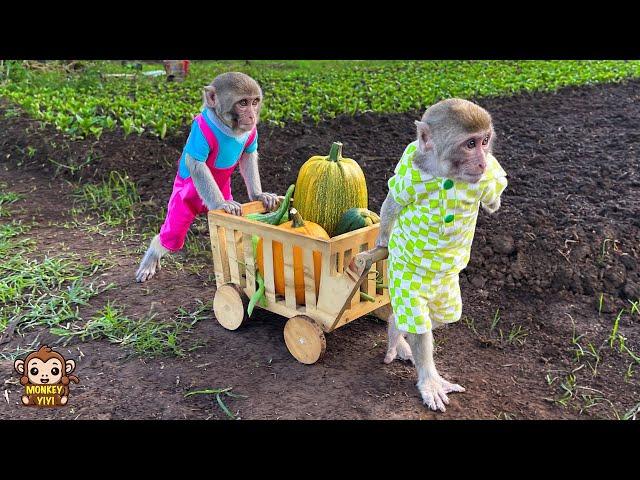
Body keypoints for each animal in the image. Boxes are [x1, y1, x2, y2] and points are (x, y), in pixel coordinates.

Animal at [376, 98, 504, 412]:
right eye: (470, 144)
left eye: (485, 141)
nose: (482, 162)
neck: (445, 176)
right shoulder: (408, 174)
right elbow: (393, 203)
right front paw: (383, 241)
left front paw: (492, 193)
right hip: (409, 279)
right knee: (419, 317)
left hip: (447, 294)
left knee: (442, 318)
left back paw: (395, 327)